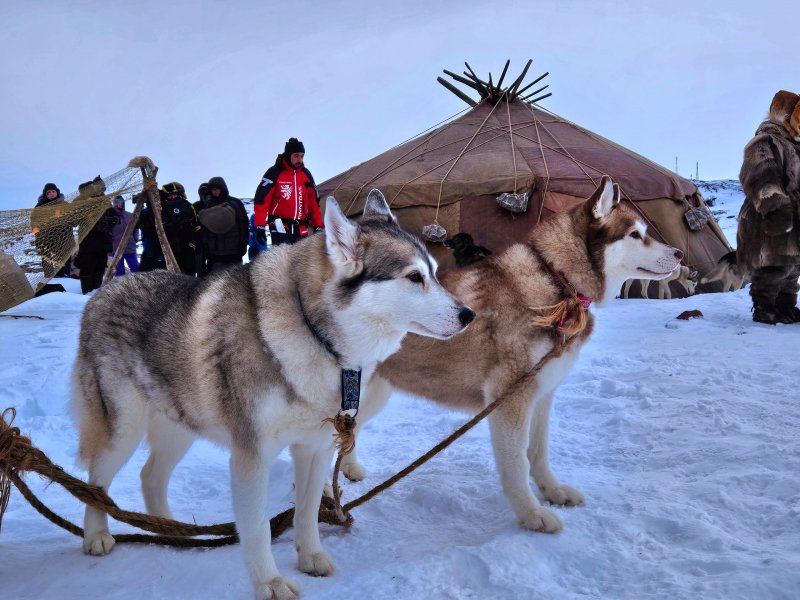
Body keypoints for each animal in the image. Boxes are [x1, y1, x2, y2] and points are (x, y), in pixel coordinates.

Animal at [70, 191, 476, 600]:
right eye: (414, 277)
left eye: (435, 273)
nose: (469, 315)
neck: (312, 330)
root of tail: (103, 291)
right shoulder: (251, 455)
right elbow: (258, 530)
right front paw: (269, 582)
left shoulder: (315, 448)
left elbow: (307, 511)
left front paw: (311, 556)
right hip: (123, 431)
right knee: (96, 483)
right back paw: (97, 535)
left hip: (179, 426)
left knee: (150, 476)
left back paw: (174, 532)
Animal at [340, 176, 684, 532]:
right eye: (635, 234)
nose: (679, 253)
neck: (557, 281)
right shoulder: (510, 397)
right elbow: (517, 462)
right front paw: (531, 513)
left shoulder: (543, 392)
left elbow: (538, 452)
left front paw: (553, 491)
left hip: (375, 392)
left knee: (349, 430)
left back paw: (346, 473)